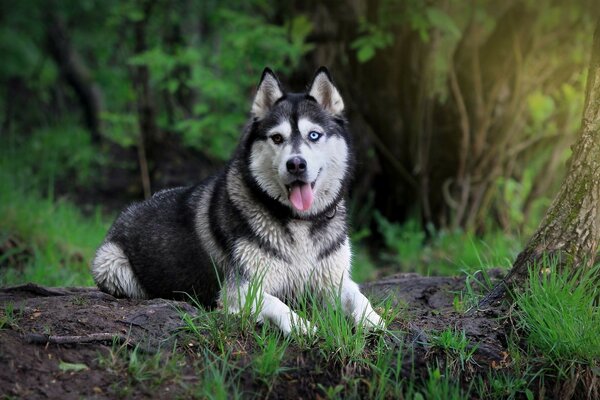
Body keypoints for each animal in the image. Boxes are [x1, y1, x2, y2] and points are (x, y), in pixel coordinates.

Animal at [94, 66, 384, 334]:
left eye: (314, 135)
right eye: (277, 137)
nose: (296, 164)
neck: (299, 221)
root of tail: (131, 208)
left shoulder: (334, 280)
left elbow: (359, 297)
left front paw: (374, 320)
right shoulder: (240, 289)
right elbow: (278, 304)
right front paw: (303, 327)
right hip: (110, 264)